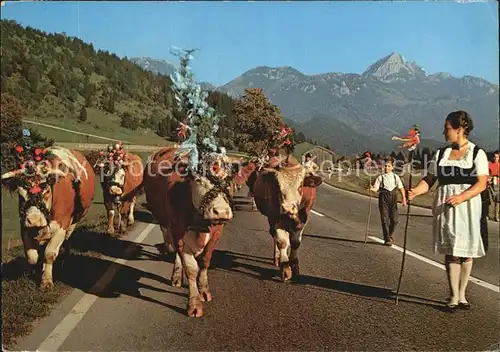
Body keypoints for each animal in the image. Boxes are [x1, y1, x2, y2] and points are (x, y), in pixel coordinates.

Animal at [0, 147, 94, 290]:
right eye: (20, 193)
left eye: (47, 191)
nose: (34, 219)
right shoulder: (24, 226)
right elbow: (32, 256)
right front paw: (34, 271)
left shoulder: (62, 226)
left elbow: (49, 254)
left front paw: (46, 281)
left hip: (74, 222)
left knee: (67, 239)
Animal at [142, 147, 233, 318]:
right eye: (198, 181)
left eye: (228, 181)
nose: (221, 212)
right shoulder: (179, 234)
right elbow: (191, 269)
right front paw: (194, 304)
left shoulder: (217, 234)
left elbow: (205, 262)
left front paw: (204, 290)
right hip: (166, 224)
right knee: (175, 250)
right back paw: (177, 276)